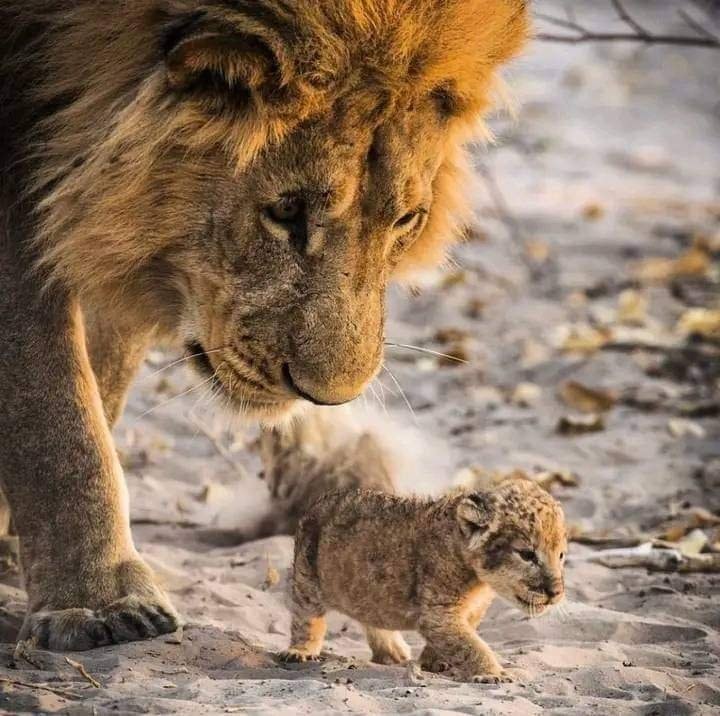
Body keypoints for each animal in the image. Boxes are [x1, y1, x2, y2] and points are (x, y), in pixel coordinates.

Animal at [0, 0, 529, 651]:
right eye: (286, 211)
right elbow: (52, 403)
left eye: (407, 219)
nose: (326, 399)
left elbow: (102, 379)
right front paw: (99, 603)